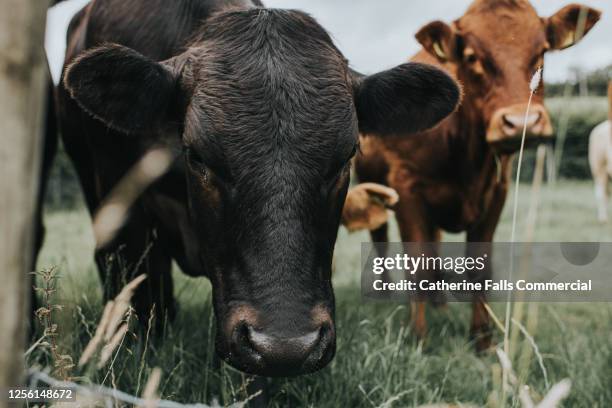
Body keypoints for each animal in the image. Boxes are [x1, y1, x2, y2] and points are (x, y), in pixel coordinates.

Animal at [356, 0, 600, 350]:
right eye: (472, 56)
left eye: (542, 51)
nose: (521, 122)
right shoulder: (407, 189)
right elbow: (417, 266)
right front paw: (418, 338)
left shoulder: (497, 192)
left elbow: (478, 267)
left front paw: (483, 339)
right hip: (371, 188)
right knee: (381, 243)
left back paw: (440, 304)